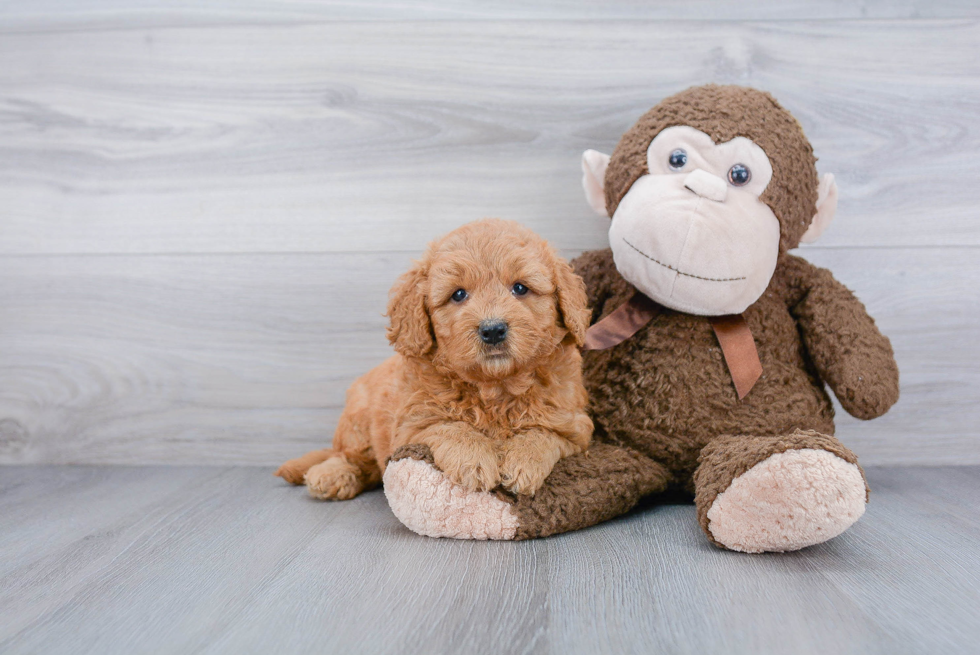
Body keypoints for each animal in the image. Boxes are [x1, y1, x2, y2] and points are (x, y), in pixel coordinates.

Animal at [274, 218, 588, 500]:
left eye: (521, 288)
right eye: (458, 294)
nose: (493, 330)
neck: (495, 387)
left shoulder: (575, 428)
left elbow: (544, 433)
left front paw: (523, 462)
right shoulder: (412, 426)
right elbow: (449, 427)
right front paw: (474, 460)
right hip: (358, 423)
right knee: (350, 457)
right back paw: (332, 475)